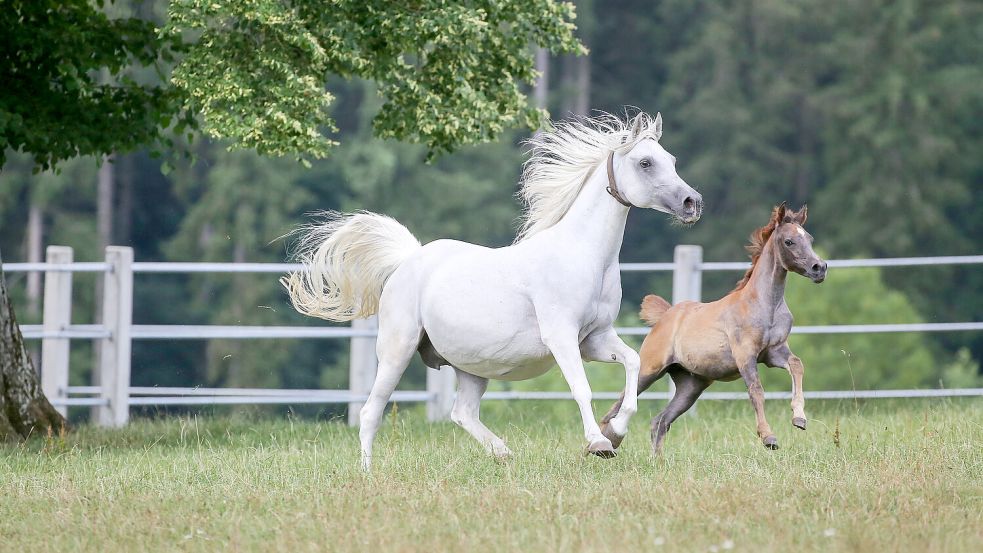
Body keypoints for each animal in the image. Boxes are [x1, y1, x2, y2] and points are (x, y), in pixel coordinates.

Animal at [282, 112, 700, 470]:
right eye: (645, 162)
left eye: (671, 159)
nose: (692, 202)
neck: (583, 256)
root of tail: (408, 259)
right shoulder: (562, 337)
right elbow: (582, 388)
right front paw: (598, 444)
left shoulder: (595, 339)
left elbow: (632, 363)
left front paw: (615, 433)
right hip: (397, 350)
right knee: (371, 412)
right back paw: (368, 474)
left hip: (470, 366)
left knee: (462, 413)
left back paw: (502, 453)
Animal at [600, 203, 824, 452]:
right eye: (789, 241)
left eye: (810, 238)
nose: (819, 267)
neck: (765, 306)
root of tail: (666, 315)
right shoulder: (745, 355)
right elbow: (756, 390)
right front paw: (769, 437)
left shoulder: (774, 352)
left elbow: (796, 364)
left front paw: (799, 418)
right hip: (649, 370)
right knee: (614, 409)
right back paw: (601, 444)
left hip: (691, 386)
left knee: (660, 421)